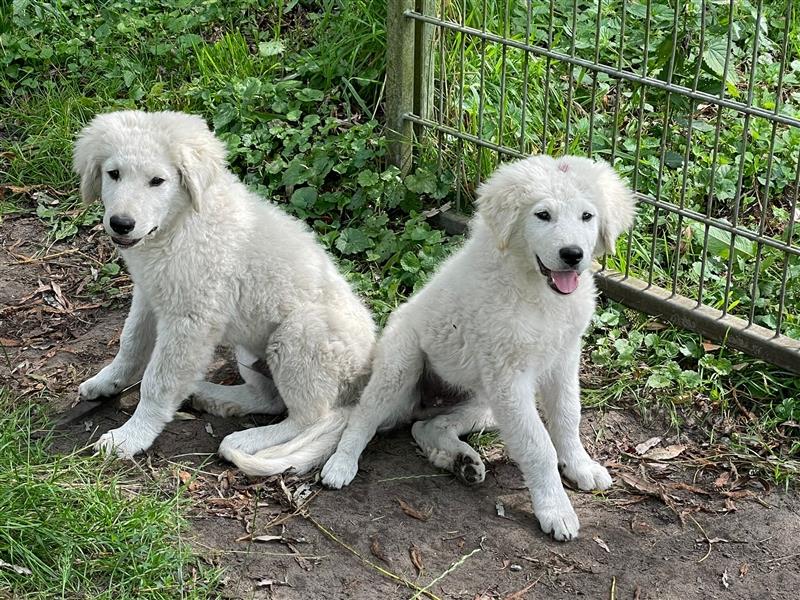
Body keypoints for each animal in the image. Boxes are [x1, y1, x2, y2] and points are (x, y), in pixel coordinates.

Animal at [75, 109, 376, 474]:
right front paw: (108, 381)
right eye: (114, 174)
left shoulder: (191, 321)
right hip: (251, 349)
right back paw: (213, 397)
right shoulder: (149, 294)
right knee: (270, 399)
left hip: (302, 334)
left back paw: (247, 439)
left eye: (157, 181)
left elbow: (158, 382)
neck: (179, 225)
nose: (121, 223)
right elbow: (130, 342)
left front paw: (130, 436)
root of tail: (364, 375)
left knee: (311, 418)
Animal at [322, 156, 636, 544]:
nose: (572, 255)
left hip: (485, 403)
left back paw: (461, 461)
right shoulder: (509, 377)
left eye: (587, 216)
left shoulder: (562, 359)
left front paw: (580, 466)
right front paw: (556, 510)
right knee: (364, 416)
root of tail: (421, 404)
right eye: (543, 215)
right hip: (402, 364)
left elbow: (567, 416)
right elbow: (537, 445)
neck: (537, 290)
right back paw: (341, 464)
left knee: (427, 427)